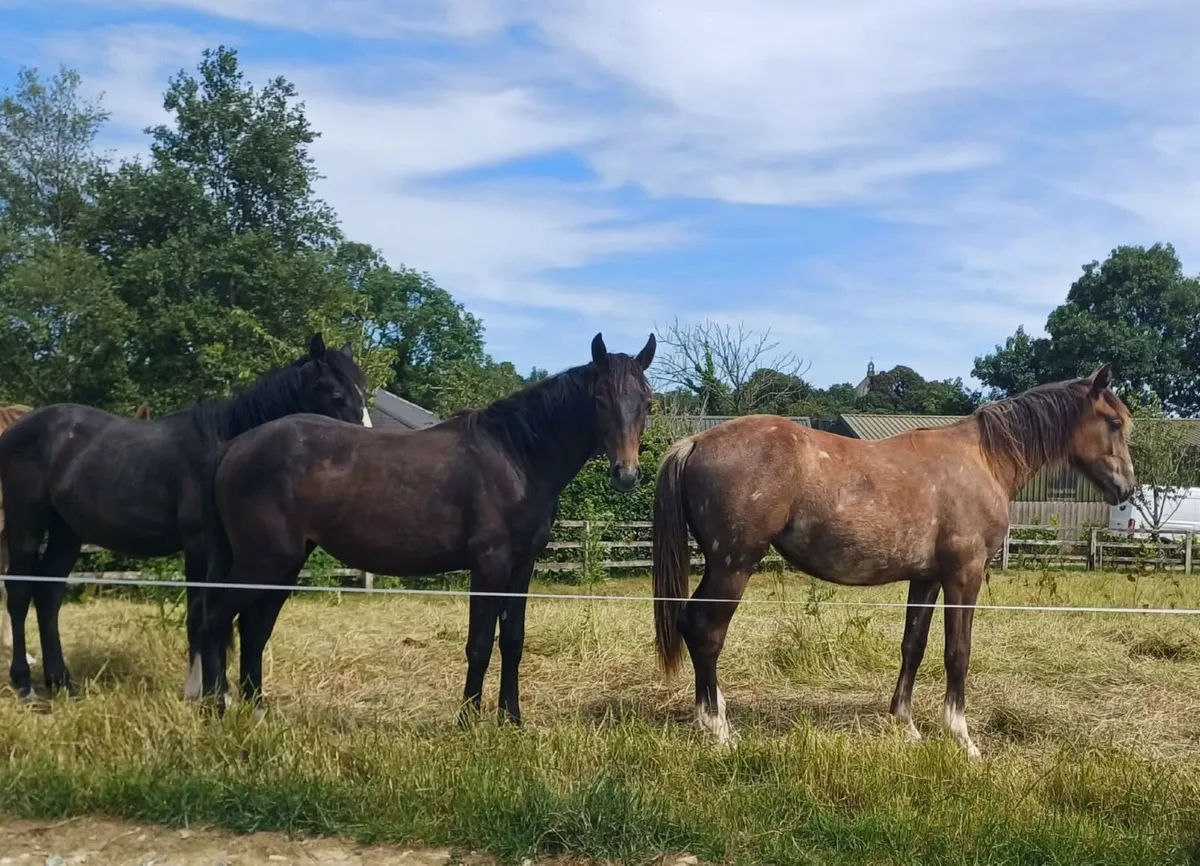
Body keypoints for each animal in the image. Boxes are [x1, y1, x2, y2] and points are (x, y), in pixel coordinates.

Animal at [0, 334, 371, 699]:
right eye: (337, 395)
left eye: (363, 391)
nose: (364, 444)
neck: (226, 448)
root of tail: (17, 429)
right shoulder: (199, 546)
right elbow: (198, 613)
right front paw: (197, 691)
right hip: (25, 523)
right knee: (19, 594)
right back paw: (24, 683)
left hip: (67, 531)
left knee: (48, 595)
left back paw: (62, 683)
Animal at [194, 332, 656, 722]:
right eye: (600, 399)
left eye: (647, 403)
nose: (626, 473)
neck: (516, 457)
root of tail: (234, 447)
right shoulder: (489, 566)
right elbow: (479, 644)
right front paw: (468, 721)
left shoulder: (521, 568)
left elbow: (513, 640)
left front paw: (512, 719)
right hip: (264, 562)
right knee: (215, 620)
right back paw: (215, 709)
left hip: (284, 564)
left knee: (253, 629)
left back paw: (256, 709)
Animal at [651, 365, 1135, 757]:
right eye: (1114, 423)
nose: (1127, 488)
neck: (984, 459)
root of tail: (695, 441)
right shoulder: (964, 575)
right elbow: (958, 651)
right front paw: (961, 736)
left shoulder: (927, 578)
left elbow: (913, 646)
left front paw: (905, 724)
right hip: (733, 565)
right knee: (706, 631)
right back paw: (718, 728)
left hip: (721, 566)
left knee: (691, 625)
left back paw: (712, 711)